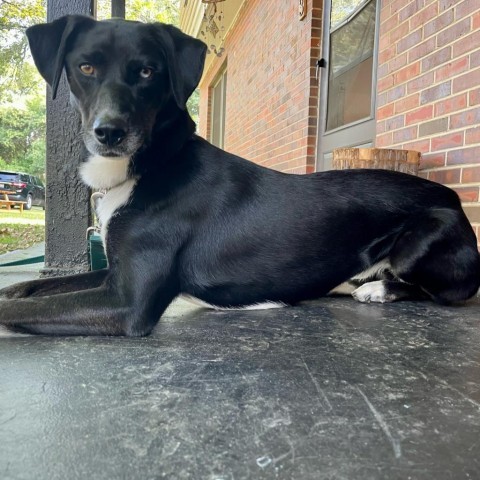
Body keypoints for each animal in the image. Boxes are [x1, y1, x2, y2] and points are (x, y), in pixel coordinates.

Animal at [0, 16, 478, 336]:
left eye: (147, 71)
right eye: (85, 67)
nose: (110, 132)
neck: (152, 164)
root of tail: (452, 197)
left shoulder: (127, 301)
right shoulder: (111, 274)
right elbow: (31, 289)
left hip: (423, 241)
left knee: (445, 291)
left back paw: (379, 290)